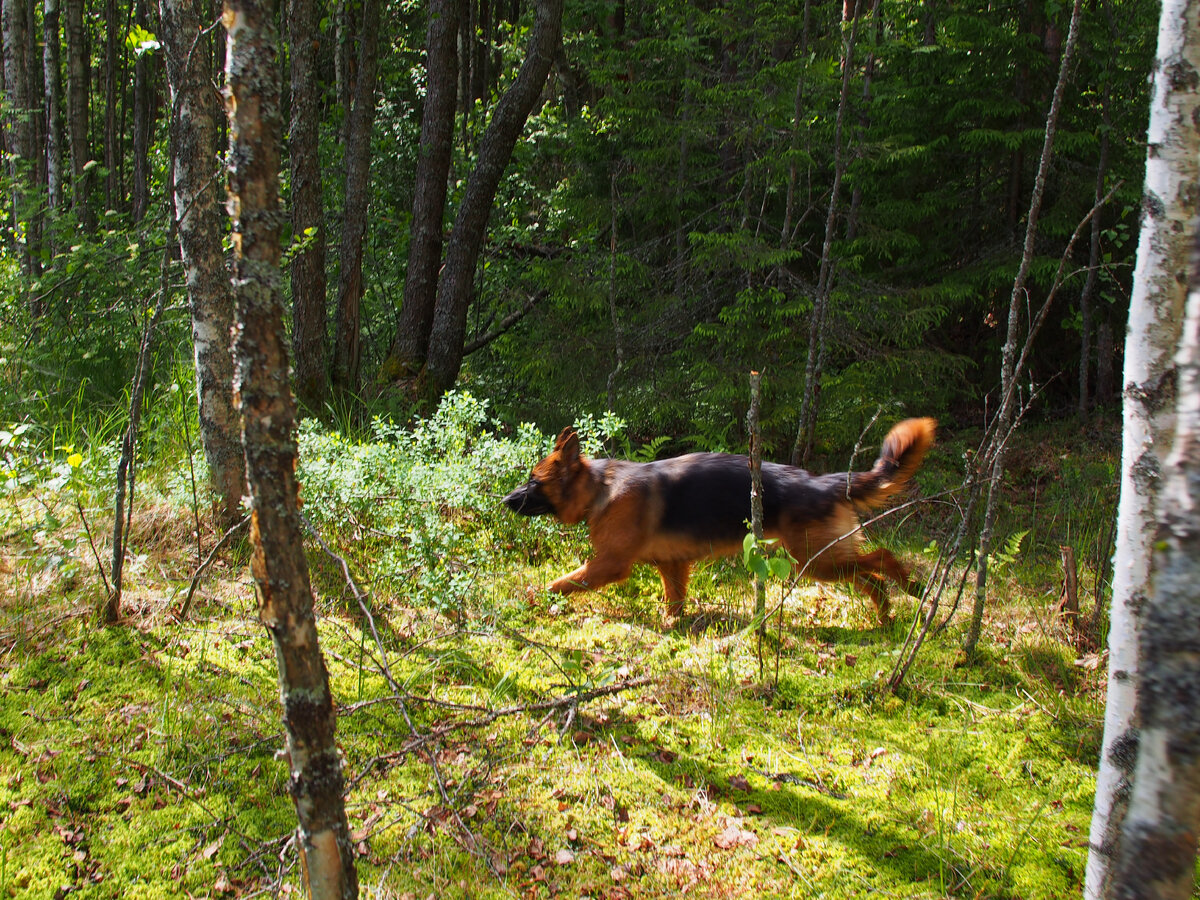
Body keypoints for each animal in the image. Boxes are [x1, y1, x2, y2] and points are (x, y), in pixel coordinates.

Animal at [501, 420, 931, 624]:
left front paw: (534, 598)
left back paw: (913, 588)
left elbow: (561, 583)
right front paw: (673, 625)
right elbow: (674, 601)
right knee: (870, 578)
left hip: (816, 560)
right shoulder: (672, 565)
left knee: (882, 558)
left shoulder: (608, 565)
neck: (599, 489)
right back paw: (886, 613)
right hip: (823, 560)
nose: (505, 501)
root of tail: (822, 482)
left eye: (533, 481)